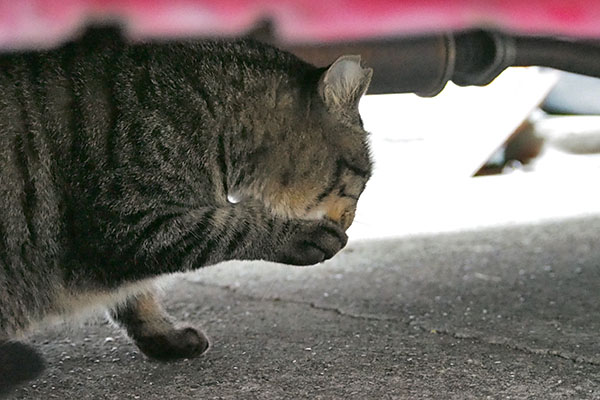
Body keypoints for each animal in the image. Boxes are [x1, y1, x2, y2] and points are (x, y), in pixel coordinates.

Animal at [0, 28, 372, 394]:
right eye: (363, 180)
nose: (351, 221)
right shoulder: (126, 221)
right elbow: (231, 226)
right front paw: (297, 236)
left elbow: (137, 297)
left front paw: (165, 336)